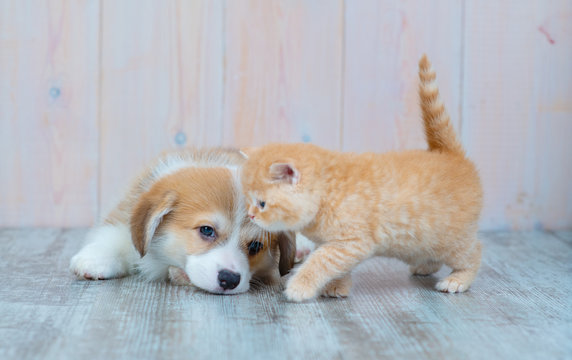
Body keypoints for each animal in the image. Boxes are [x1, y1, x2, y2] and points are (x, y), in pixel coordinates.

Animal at [240, 54, 482, 302]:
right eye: (248, 201)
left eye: (262, 203)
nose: (251, 215)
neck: (327, 193)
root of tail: (449, 154)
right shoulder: (336, 244)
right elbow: (335, 265)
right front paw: (337, 286)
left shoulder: (350, 242)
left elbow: (320, 261)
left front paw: (299, 286)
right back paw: (426, 266)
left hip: (450, 238)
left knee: (474, 252)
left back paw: (457, 279)